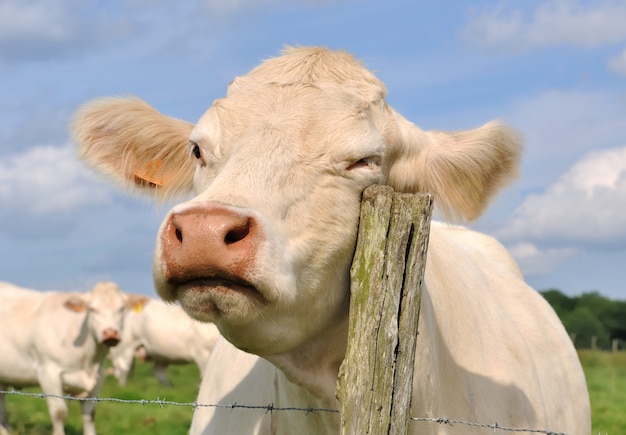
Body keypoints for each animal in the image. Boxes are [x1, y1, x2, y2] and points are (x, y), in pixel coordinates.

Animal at [0, 282, 141, 435]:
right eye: (92, 309)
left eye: (122, 309)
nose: (110, 333)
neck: (88, 362)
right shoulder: (49, 372)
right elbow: (59, 412)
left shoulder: (99, 376)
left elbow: (90, 413)